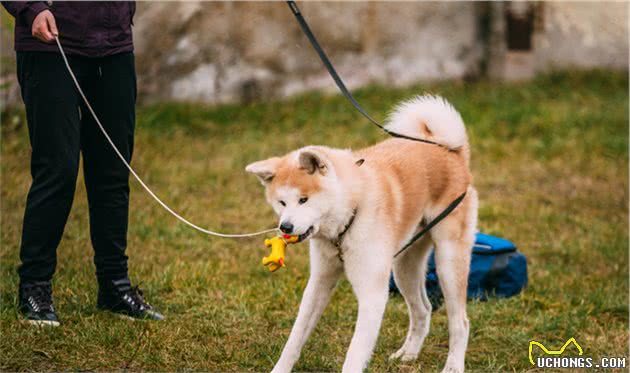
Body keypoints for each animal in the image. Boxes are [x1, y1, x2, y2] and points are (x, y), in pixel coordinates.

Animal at [247, 96, 478, 372]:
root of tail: (452, 150)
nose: (286, 227)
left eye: (304, 200)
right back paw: (408, 354)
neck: (350, 214)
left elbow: (355, 353)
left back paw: (453, 365)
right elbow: (295, 338)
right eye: (281, 202)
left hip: (447, 264)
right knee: (423, 309)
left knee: (460, 322)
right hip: (404, 267)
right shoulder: (319, 282)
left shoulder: (372, 294)